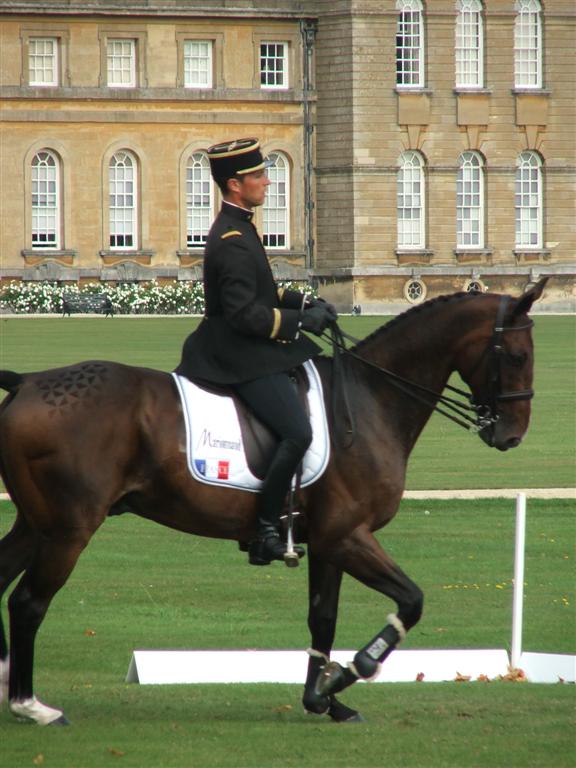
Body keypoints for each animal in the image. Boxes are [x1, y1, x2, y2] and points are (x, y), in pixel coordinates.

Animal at [0, 280, 548, 724]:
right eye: (518, 356)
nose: (512, 435)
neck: (370, 399)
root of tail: (29, 381)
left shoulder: (327, 543)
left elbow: (322, 618)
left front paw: (323, 698)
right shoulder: (347, 536)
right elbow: (410, 601)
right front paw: (354, 669)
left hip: (36, 525)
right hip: (68, 530)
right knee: (28, 603)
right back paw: (30, 705)